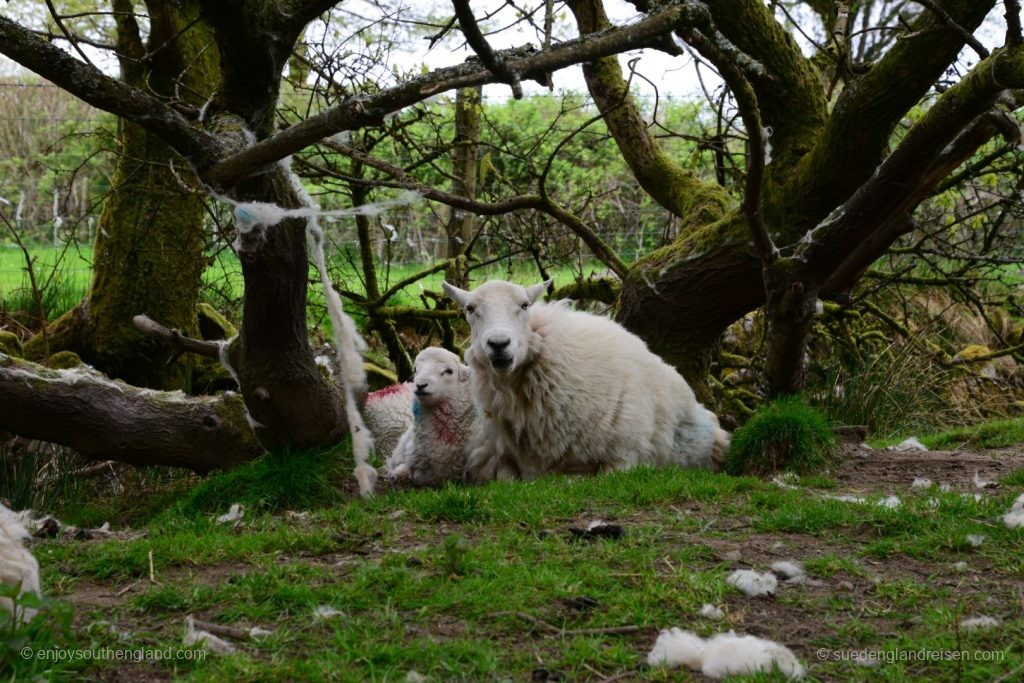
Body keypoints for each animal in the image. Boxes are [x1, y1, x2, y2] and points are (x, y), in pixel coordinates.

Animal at [440, 280, 729, 483]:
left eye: (524, 305)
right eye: (470, 309)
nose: (499, 344)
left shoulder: (625, 458)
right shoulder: (496, 457)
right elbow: (505, 478)